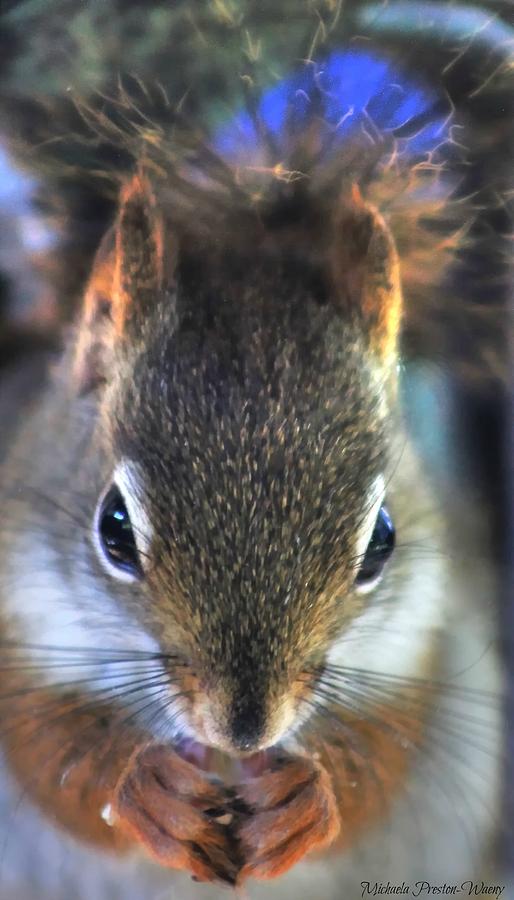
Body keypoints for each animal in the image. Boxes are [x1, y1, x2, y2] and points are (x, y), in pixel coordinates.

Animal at [0, 19, 506, 900]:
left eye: (383, 541)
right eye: (113, 529)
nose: (245, 730)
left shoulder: (425, 640)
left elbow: (385, 753)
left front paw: (314, 798)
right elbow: (44, 747)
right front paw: (142, 787)